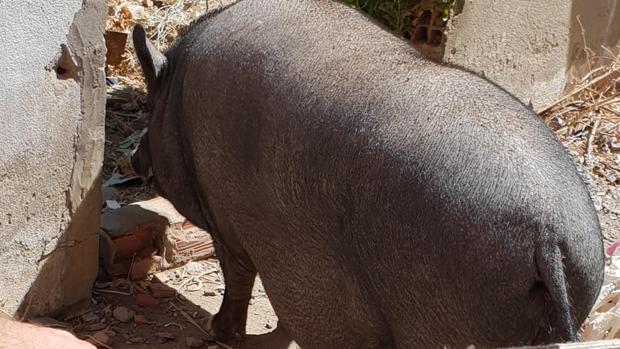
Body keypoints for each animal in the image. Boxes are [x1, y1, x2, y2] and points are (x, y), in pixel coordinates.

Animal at [130, 1, 600, 346]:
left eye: (149, 107)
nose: (134, 159)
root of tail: (548, 233)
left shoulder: (226, 223)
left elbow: (239, 278)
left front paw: (220, 334)